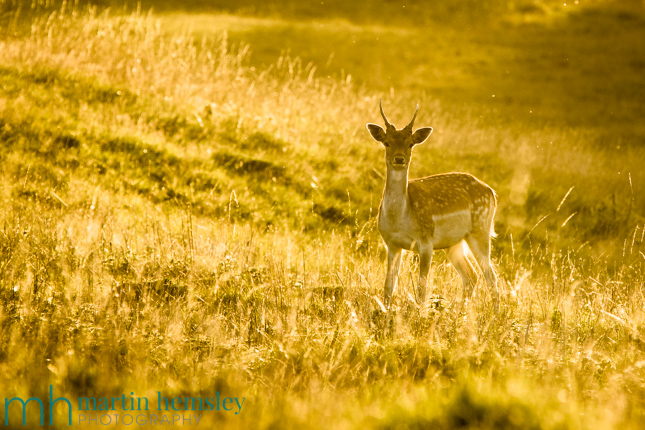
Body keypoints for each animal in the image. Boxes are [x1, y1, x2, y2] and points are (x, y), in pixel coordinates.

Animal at [368, 101, 498, 310]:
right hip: (454, 242)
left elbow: (422, 287)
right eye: (386, 142)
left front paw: (419, 313)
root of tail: (492, 193)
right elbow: (388, 285)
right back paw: (461, 312)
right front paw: (385, 310)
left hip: (481, 229)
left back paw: (495, 314)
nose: (399, 158)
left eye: (410, 143)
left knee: (490, 276)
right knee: (471, 275)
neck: (401, 219)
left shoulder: (426, 241)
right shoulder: (391, 243)